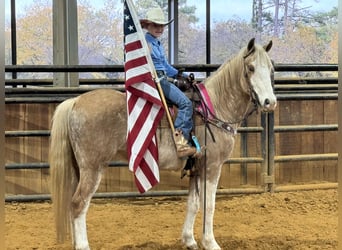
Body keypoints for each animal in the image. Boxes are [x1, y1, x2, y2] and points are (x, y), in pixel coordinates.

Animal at [49, 37, 276, 250]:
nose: (270, 102)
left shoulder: (196, 168)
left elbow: (193, 204)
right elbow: (209, 205)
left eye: (272, 70)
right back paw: (83, 245)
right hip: (93, 167)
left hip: (80, 168)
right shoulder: (212, 166)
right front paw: (210, 242)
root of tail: (76, 102)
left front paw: (189, 240)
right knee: (79, 203)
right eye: (251, 68)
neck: (214, 107)